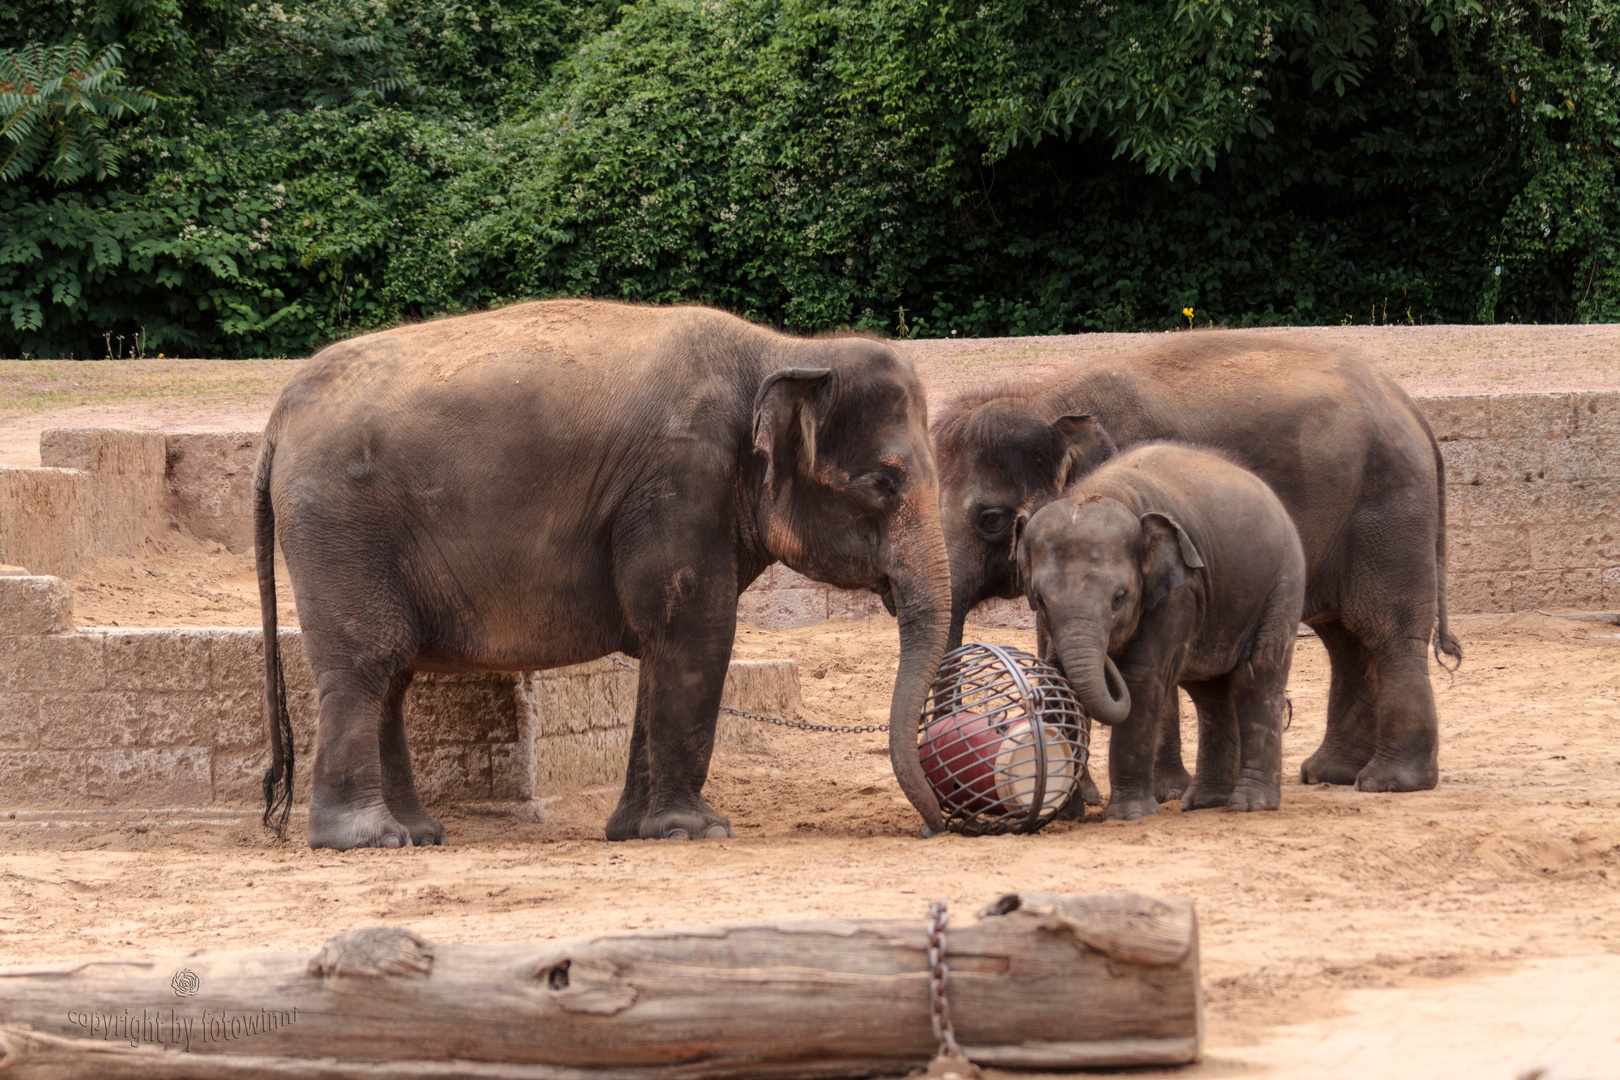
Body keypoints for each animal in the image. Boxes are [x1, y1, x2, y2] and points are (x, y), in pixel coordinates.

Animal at [257, 299, 952, 848]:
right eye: (882, 483)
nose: (934, 825)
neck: (787, 351)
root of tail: (279, 412)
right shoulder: (680, 480)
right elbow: (694, 630)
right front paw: (697, 831)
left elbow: (660, 643)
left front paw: (635, 832)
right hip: (339, 526)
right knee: (367, 662)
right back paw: (366, 839)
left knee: (394, 674)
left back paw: (419, 835)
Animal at [1017, 440, 1308, 819]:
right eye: (1040, 599)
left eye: (1119, 599)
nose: (1107, 656)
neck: (1103, 491)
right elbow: (1056, 680)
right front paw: (1062, 813)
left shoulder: (1179, 591)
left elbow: (1141, 679)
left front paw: (1130, 815)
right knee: (1210, 692)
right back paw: (1205, 802)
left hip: (1282, 583)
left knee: (1256, 676)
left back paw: (1251, 805)